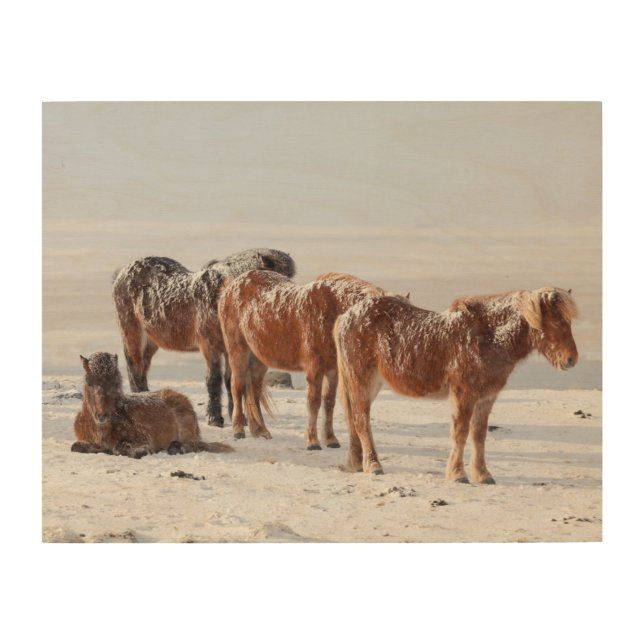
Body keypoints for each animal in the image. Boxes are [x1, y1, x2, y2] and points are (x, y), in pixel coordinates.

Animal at [71, 352, 234, 458]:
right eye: (89, 382)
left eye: (115, 383)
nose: (102, 415)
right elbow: (75, 447)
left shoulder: (143, 438)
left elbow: (121, 448)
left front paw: (142, 451)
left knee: (192, 445)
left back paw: (175, 447)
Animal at [112, 248, 295, 427]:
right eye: (276, 280)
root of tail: (122, 273)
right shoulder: (209, 346)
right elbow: (213, 379)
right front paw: (214, 418)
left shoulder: (230, 349)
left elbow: (231, 380)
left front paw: (237, 417)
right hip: (133, 332)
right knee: (134, 366)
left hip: (152, 340)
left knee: (143, 367)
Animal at [218, 271, 398, 448]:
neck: (331, 310)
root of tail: (232, 285)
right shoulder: (314, 369)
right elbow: (313, 403)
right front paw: (312, 441)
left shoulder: (332, 371)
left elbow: (328, 403)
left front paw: (331, 439)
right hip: (238, 352)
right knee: (238, 387)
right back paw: (238, 430)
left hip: (258, 360)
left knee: (254, 392)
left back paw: (261, 431)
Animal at [333, 287, 578, 482]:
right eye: (555, 321)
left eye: (569, 322)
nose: (571, 359)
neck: (489, 339)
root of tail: (344, 317)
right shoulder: (464, 395)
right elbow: (460, 432)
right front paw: (458, 474)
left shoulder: (487, 398)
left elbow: (479, 434)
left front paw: (482, 474)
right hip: (362, 380)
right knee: (361, 420)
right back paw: (373, 465)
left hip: (371, 383)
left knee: (353, 419)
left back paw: (357, 463)